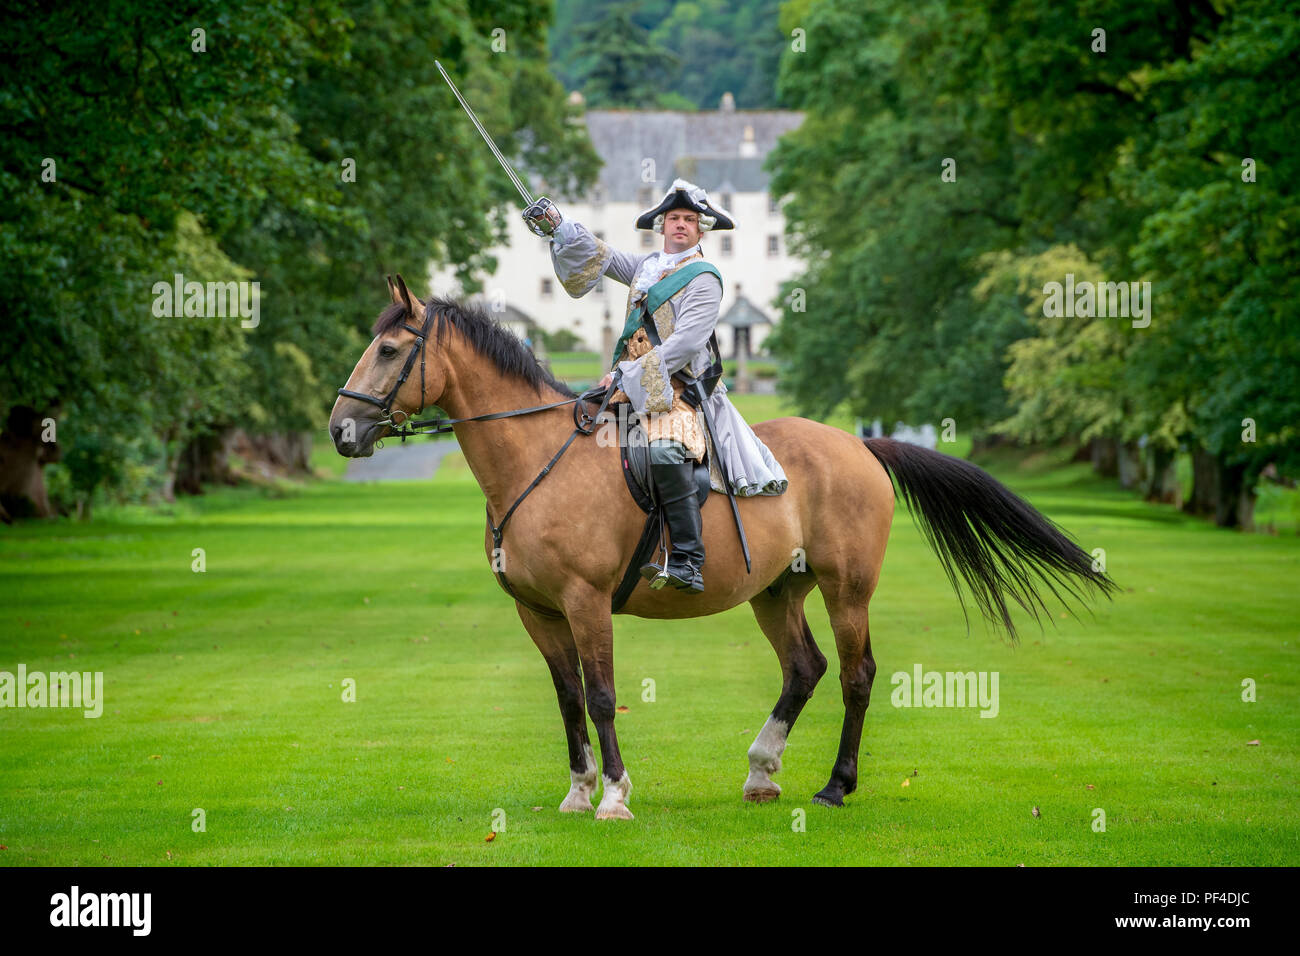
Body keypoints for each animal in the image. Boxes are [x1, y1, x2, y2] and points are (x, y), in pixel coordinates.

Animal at [330, 277, 1112, 822]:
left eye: (390, 350)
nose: (341, 430)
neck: (536, 459)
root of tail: (860, 444)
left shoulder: (586, 603)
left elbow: (603, 695)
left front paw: (614, 796)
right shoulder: (539, 612)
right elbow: (568, 698)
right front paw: (579, 792)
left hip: (847, 589)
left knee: (855, 674)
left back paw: (836, 786)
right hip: (777, 592)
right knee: (805, 668)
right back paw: (762, 771)